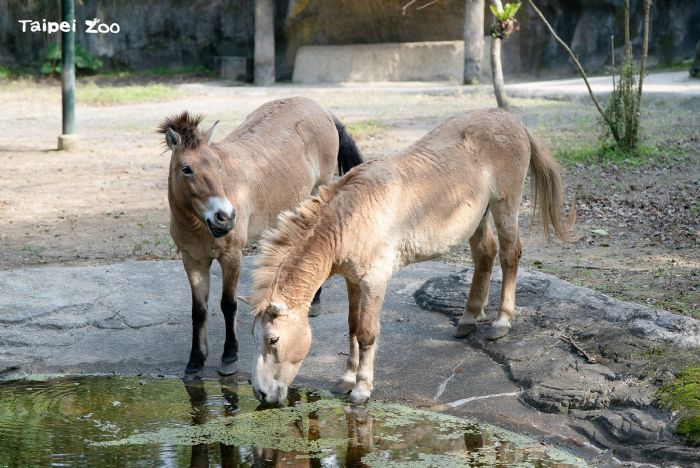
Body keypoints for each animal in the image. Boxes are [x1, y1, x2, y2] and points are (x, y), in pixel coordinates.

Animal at [158, 97, 364, 382]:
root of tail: (319, 108)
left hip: (318, 191)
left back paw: (314, 303)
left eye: (217, 165)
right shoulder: (193, 261)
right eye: (186, 169)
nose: (225, 217)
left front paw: (229, 358)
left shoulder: (231, 256)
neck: (197, 223)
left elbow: (228, 304)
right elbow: (198, 311)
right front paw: (195, 362)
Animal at [245, 108, 574, 405]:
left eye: (273, 339)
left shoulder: (375, 282)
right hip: (477, 219)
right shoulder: (354, 282)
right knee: (485, 255)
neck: (349, 218)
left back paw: (501, 323)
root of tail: (512, 119)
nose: (261, 394)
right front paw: (345, 380)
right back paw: (468, 319)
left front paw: (362, 389)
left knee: (509, 255)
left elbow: (366, 333)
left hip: (505, 207)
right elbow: (351, 327)